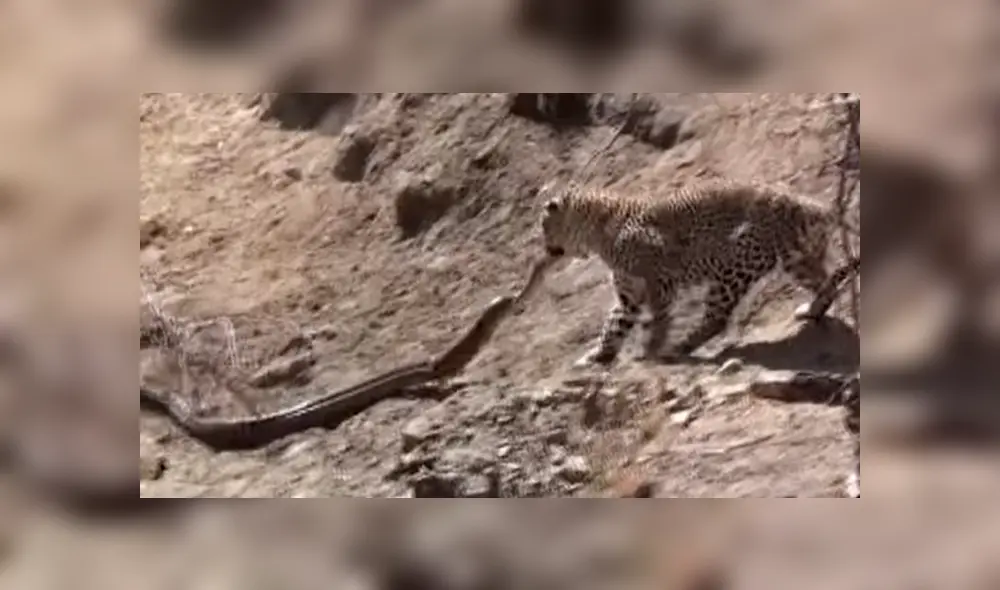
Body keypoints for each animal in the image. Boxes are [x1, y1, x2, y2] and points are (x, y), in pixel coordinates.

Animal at [538, 178, 859, 367]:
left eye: (544, 225)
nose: (545, 248)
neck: (599, 230)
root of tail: (806, 204)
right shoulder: (630, 293)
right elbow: (613, 324)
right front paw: (598, 355)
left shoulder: (660, 282)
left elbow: (657, 321)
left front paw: (650, 351)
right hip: (797, 258)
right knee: (827, 283)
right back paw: (812, 311)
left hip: (734, 262)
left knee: (717, 318)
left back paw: (679, 347)